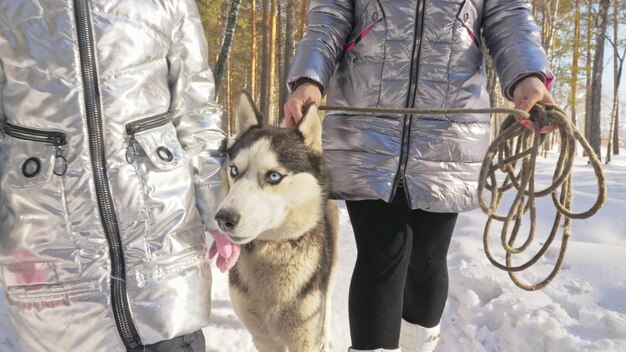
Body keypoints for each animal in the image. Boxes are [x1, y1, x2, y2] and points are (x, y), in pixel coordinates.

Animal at [216, 92, 342, 350]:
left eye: (274, 176)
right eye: (233, 171)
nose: (223, 219)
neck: (274, 248)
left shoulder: (304, 338)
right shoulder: (262, 337)